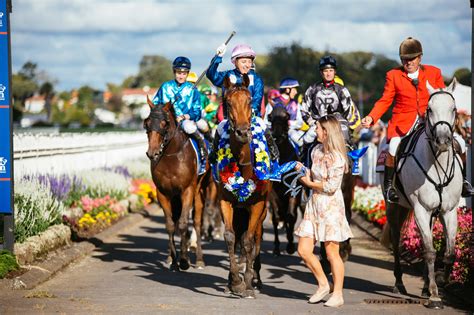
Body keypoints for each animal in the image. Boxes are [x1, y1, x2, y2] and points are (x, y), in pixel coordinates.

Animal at [143, 99, 206, 272]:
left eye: (164, 123)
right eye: (146, 123)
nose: (152, 152)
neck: (171, 156)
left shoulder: (187, 190)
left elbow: (184, 224)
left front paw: (184, 261)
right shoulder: (163, 193)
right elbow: (171, 225)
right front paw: (173, 260)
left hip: (200, 192)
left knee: (197, 222)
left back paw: (199, 259)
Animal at [384, 80, 462, 310]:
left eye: (454, 109)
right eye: (430, 110)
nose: (443, 140)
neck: (437, 163)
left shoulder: (449, 211)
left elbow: (449, 252)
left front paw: (441, 284)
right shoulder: (420, 209)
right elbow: (429, 251)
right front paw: (435, 295)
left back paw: (427, 285)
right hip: (395, 208)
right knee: (396, 239)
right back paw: (399, 283)